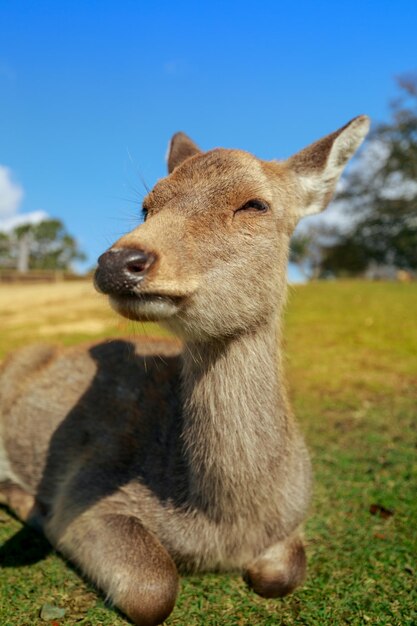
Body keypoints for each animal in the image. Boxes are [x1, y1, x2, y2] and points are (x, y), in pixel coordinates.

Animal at [0, 114, 368, 620]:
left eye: (255, 204)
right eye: (146, 207)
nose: (118, 261)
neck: (225, 524)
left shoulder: (294, 516)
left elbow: (285, 573)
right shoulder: (86, 487)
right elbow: (155, 589)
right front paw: (39, 511)